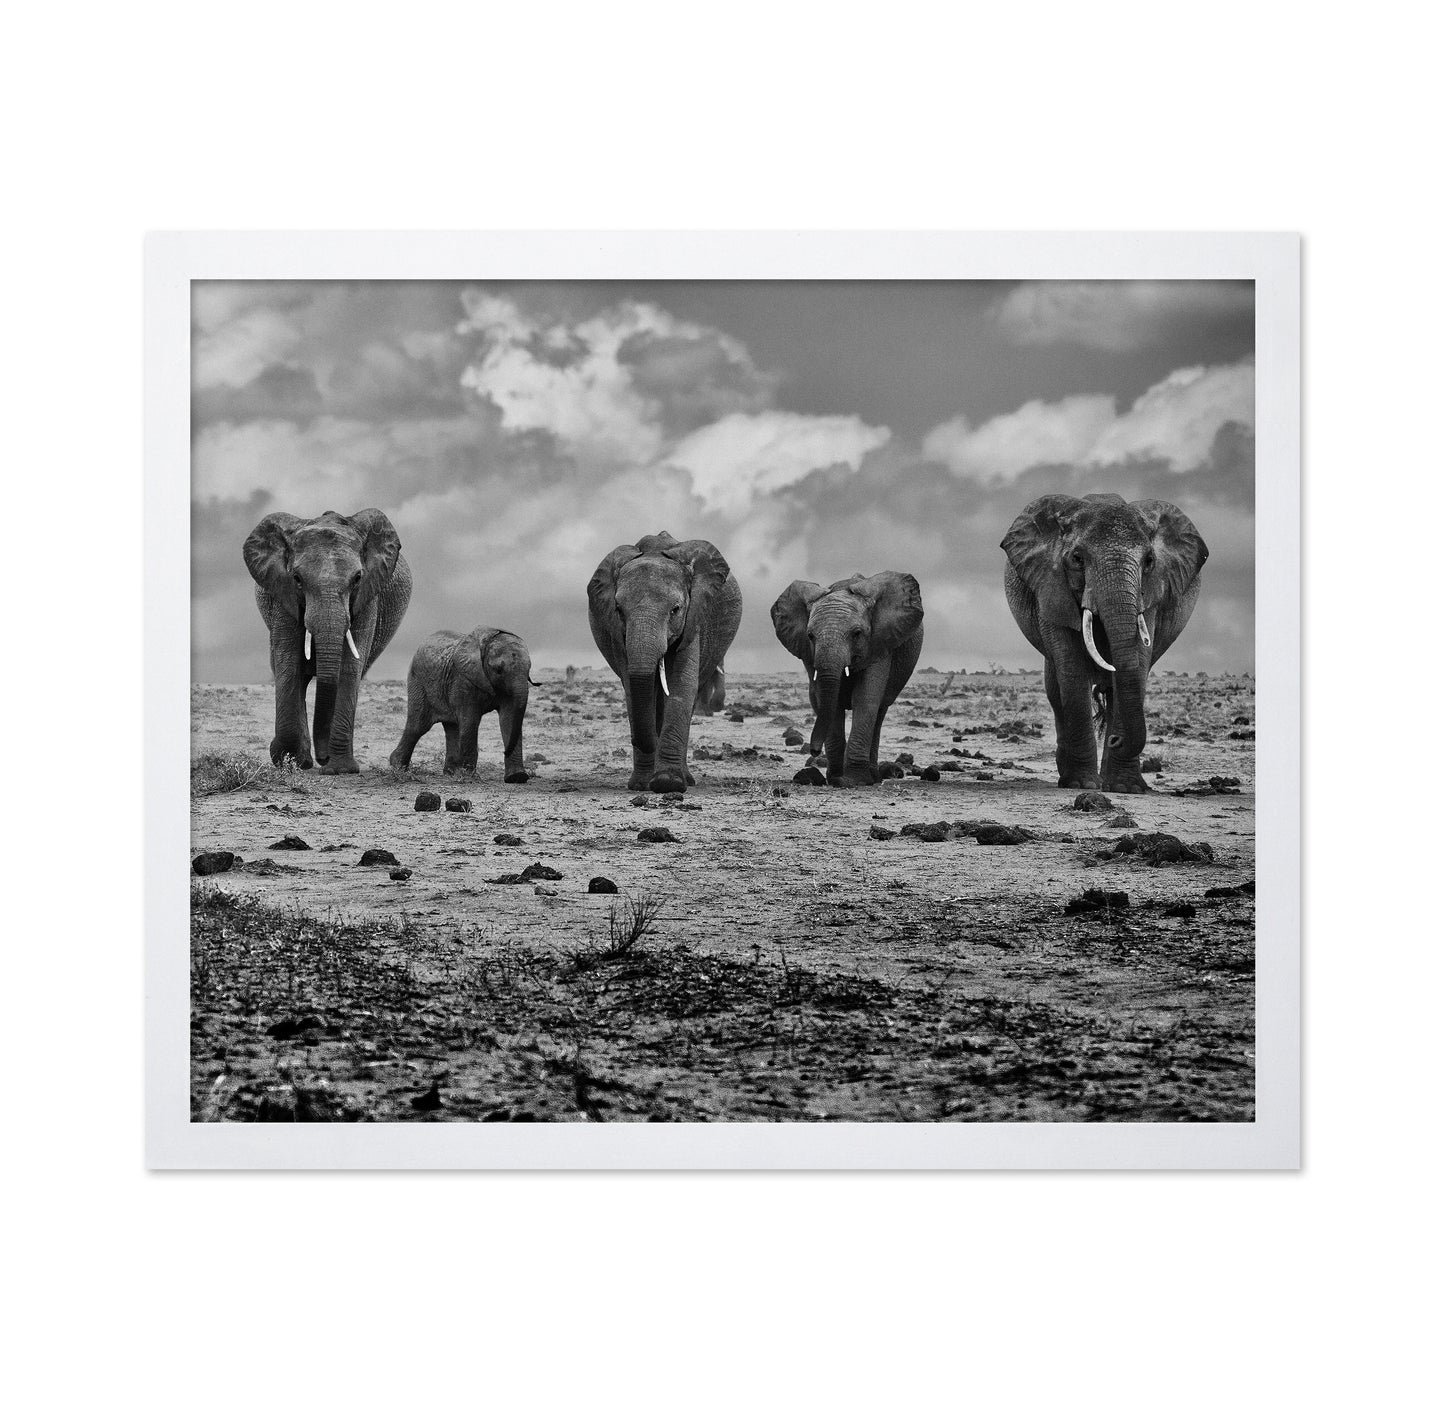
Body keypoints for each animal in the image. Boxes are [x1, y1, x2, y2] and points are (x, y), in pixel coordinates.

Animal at [243, 509, 412, 774]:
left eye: (357, 578)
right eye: (297, 578)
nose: (323, 758)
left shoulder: (367, 597)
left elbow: (350, 666)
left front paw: (340, 769)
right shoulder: (282, 593)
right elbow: (288, 661)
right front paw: (290, 761)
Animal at [389, 627, 536, 781]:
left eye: (529, 669)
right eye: (498, 670)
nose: (504, 751)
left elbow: (509, 718)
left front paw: (517, 778)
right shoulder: (463, 680)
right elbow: (470, 721)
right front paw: (470, 777)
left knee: (451, 727)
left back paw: (450, 773)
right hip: (418, 682)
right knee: (418, 726)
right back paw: (398, 767)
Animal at [586, 531, 742, 792]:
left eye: (675, 609)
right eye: (618, 610)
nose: (640, 740)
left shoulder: (693, 618)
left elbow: (681, 685)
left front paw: (667, 783)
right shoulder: (616, 632)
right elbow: (633, 689)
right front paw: (642, 785)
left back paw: (686, 779)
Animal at [771, 571, 924, 787]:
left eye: (857, 634)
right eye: (810, 636)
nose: (814, 751)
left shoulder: (880, 643)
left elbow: (865, 698)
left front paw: (854, 780)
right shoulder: (809, 653)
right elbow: (829, 701)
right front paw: (835, 778)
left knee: (879, 713)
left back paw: (873, 777)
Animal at [1001, 492, 1208, 793]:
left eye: (1149, 561)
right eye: (1077, 558)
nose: (1115, 740)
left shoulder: (1151, 596)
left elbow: (1138, 661)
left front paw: (1126, 789)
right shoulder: (1051, 587)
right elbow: (1071, 669)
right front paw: (1082, 784)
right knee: (1056, 692)